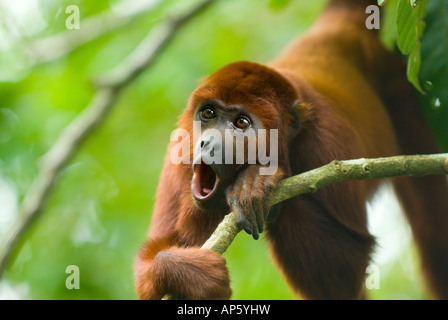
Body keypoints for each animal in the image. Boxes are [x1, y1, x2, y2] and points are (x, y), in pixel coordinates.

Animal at [135, 0, 448, 300]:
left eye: (241, 123)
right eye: (208, 113)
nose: (207, 143)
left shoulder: (328, 143)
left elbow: (346, 269)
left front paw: (255, 183)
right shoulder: (178, 151)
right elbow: (150, 261)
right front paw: (190, 272)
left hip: (399, 88)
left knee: (433, 230)